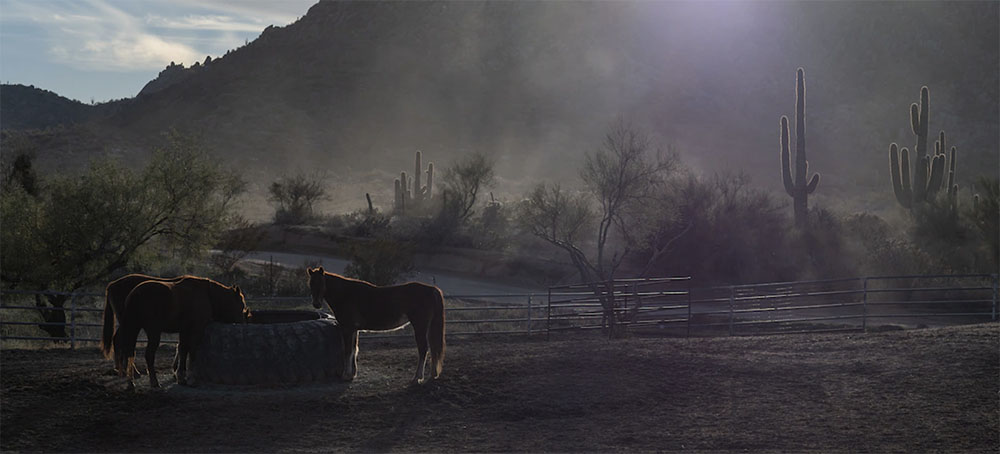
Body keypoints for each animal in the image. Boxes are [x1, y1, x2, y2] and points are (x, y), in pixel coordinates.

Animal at [115, 274, 250, 388]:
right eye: (241, 305)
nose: (242, 323)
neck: (208, 295)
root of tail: (135, 294)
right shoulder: (196, 330)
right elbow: (192, 350)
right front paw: (191, 378)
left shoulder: (184, 330)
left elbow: (183, 350)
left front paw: (181, 377)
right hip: (153, 332)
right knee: (148, 354)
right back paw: (154, 382)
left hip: (133, 328)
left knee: (130, 352)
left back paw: (131, 383)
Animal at [304, 268, 446, 384]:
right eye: (310, 284)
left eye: (321, 283)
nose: (316, 304)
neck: (346, 294)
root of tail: (431, 289)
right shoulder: (354, 330)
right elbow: (354, 350)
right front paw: (352, 375)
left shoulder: (347, 329)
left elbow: (348, 351)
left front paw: (345, 376)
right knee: (433, 348)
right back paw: (433, 374)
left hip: (420, 326)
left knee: (423, 349)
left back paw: (417, 378)